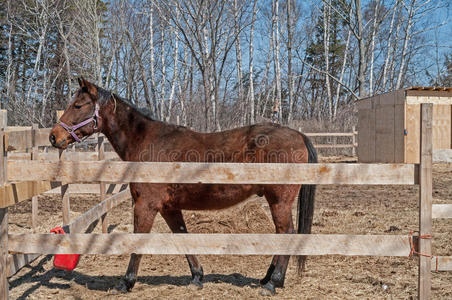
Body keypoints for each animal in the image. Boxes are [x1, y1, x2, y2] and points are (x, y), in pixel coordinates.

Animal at [49, 78, 316, 296]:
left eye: (78, 105)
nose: (54, 137)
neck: (147, 142)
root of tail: (298, 135)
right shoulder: (169, 208)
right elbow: (183, 236)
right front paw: (197, 277)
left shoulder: (146, 206)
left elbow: (139, 242)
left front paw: (126, 282)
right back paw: (268, 278)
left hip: (279, 200)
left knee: (287, 233)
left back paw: (273, 283)